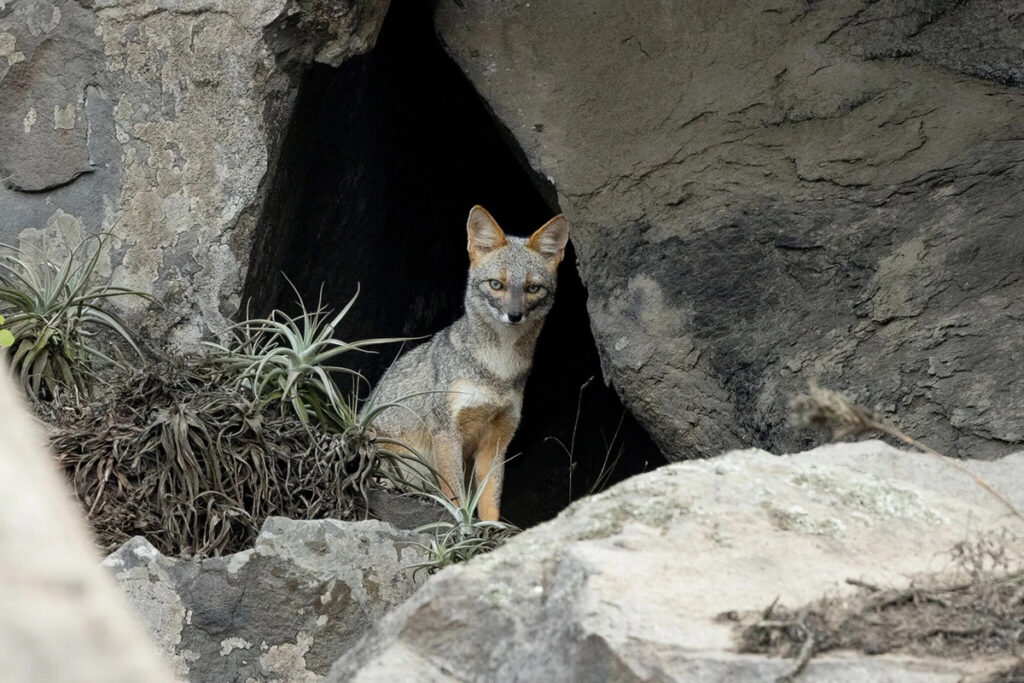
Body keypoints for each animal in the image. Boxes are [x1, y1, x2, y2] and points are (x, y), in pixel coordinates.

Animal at [368, 205, 569, 522]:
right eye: (496, 285)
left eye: (532, 288)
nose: (514, 315)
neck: (499, 368)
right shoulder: (446, 432)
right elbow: (456, 497)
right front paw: (462, 526)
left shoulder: (497, 442)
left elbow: (490, 503)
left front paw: (490, 531)